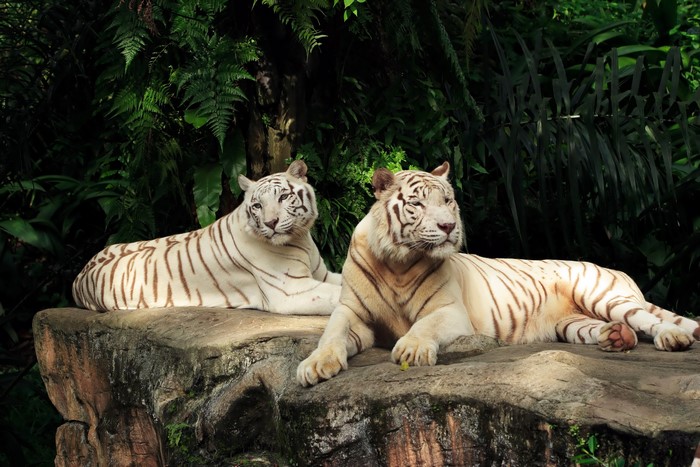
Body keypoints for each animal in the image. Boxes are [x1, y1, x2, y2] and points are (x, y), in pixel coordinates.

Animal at [73, 160, 342, 314]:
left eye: (284, 197)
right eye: (257, 206)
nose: (270, 223)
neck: (300, 237)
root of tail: (79, 276)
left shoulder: (321, 274)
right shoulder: (291, 290)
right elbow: (338, 295)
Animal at [297, 162, 700, 386]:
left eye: (448, 201)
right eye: (417, 204)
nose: (448, 226)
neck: (397, 261)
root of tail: (618, 271)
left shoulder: (448, 311)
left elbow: (423, 326)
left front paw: (411, 348)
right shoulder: (352, 312)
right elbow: (331, 334)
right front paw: (314, 367)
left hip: (603, 295)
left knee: (650, 318)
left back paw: (672, 338)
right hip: (571, 323)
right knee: (610, 328)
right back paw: (617, 338)